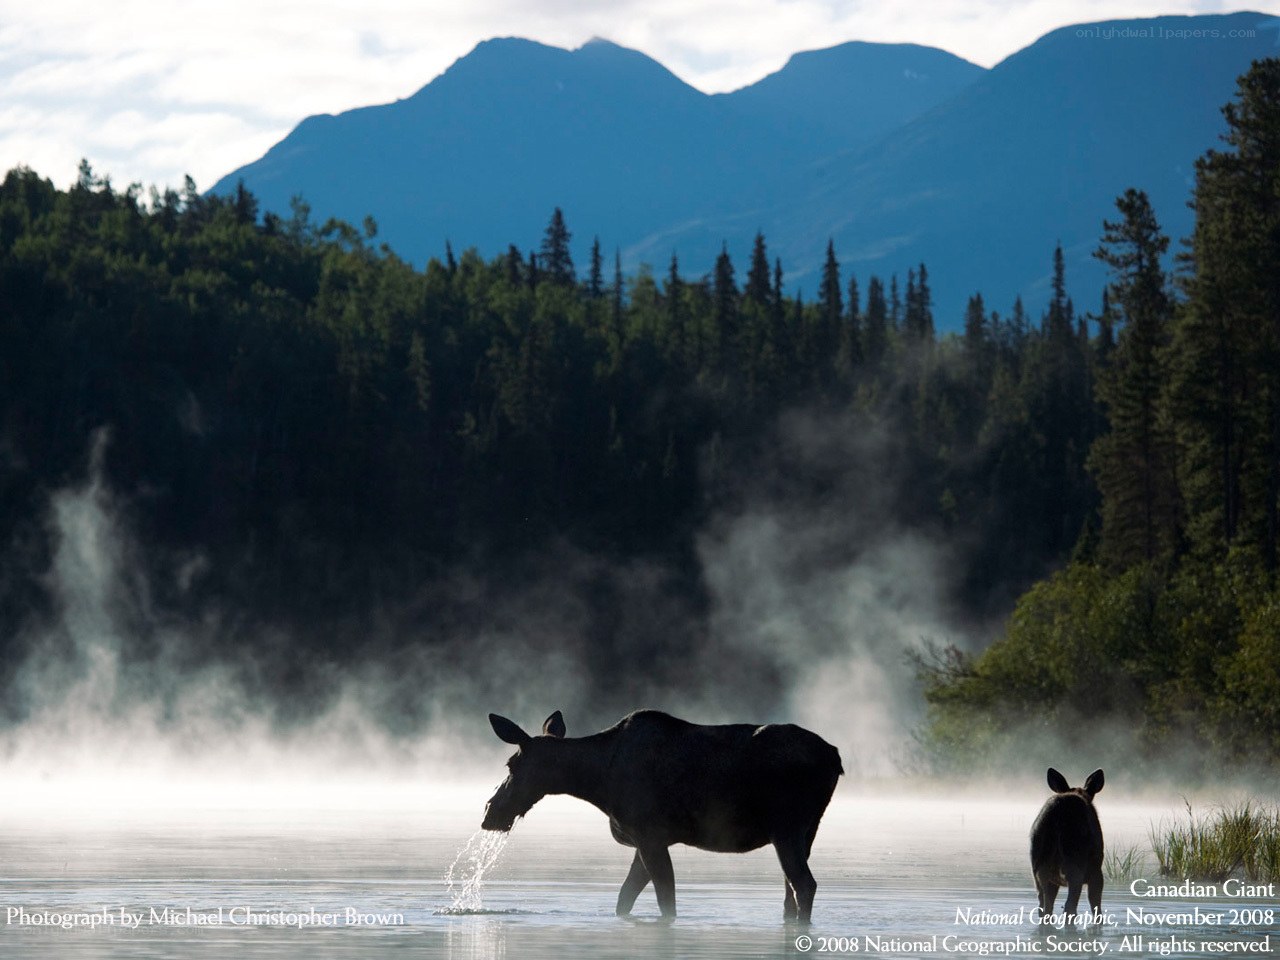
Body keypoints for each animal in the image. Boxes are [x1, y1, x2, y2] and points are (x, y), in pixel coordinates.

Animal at [481, 709, 843, 923]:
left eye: (511, 764)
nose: (489, 812)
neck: (598, 783)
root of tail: (836, 758)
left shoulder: (650, 835)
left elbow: (665, 901)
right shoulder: (643, 841)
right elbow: (624, 900)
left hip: (786, 826)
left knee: (804, 884)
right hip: (807, 830)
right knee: (790, 893)